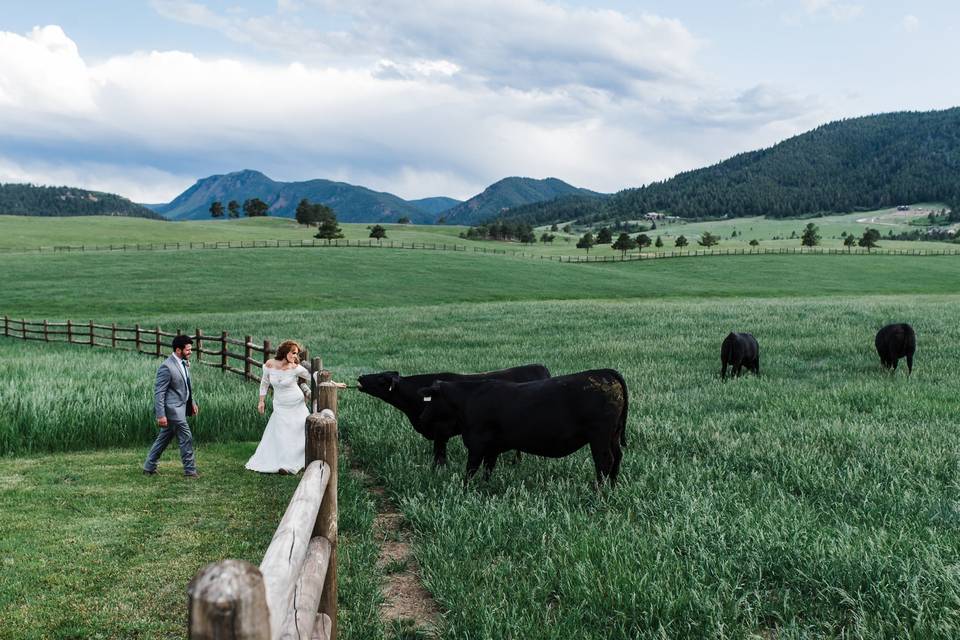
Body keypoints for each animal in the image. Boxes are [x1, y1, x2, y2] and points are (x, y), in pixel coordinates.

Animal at [416, 368, 628, 488]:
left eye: (430, 399)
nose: (421, 419)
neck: (469, 399)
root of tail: (605, 373)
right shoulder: (491, 449)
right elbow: (487, 470)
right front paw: (483, 488)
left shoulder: (477, 446)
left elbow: (470, 470)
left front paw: (465, 489)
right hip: (613, 435)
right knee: (617, 457)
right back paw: (612, 485)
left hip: (599, 437)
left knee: (604, 461)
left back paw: (599, 490)